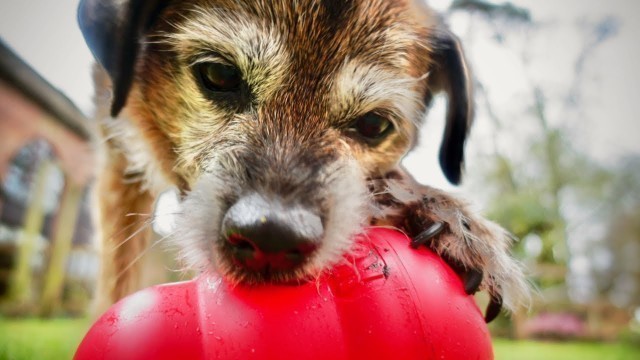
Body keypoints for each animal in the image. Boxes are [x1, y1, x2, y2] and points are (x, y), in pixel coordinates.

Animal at [77, 0, 528, 320]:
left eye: (374, 124)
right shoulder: (118, 163)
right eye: (219, 75)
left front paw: (431, 207)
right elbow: (119, 271)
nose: (272, 236)